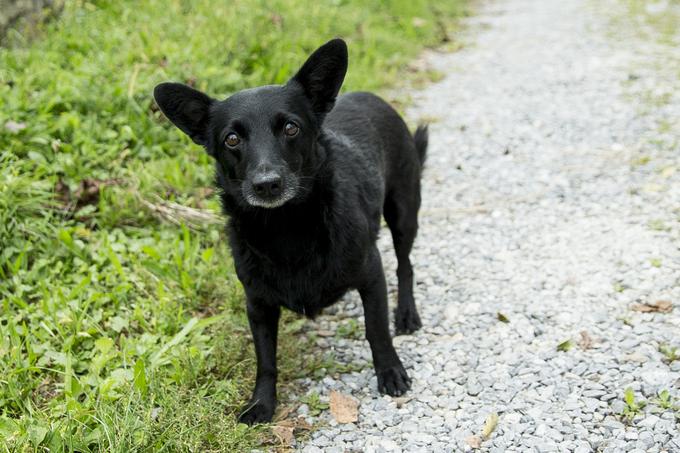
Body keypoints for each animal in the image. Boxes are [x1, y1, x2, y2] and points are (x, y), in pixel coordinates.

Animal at [157, 38, 428, 424]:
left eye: (291, 128)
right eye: (232, 139)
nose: (267, 184)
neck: (285, 227)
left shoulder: (371, 274)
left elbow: (376, 331)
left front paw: (390, 371)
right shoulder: (257, 303)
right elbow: (266, 360)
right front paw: (261, 403)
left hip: (404, 213)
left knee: (406, 265)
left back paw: (406, 314)